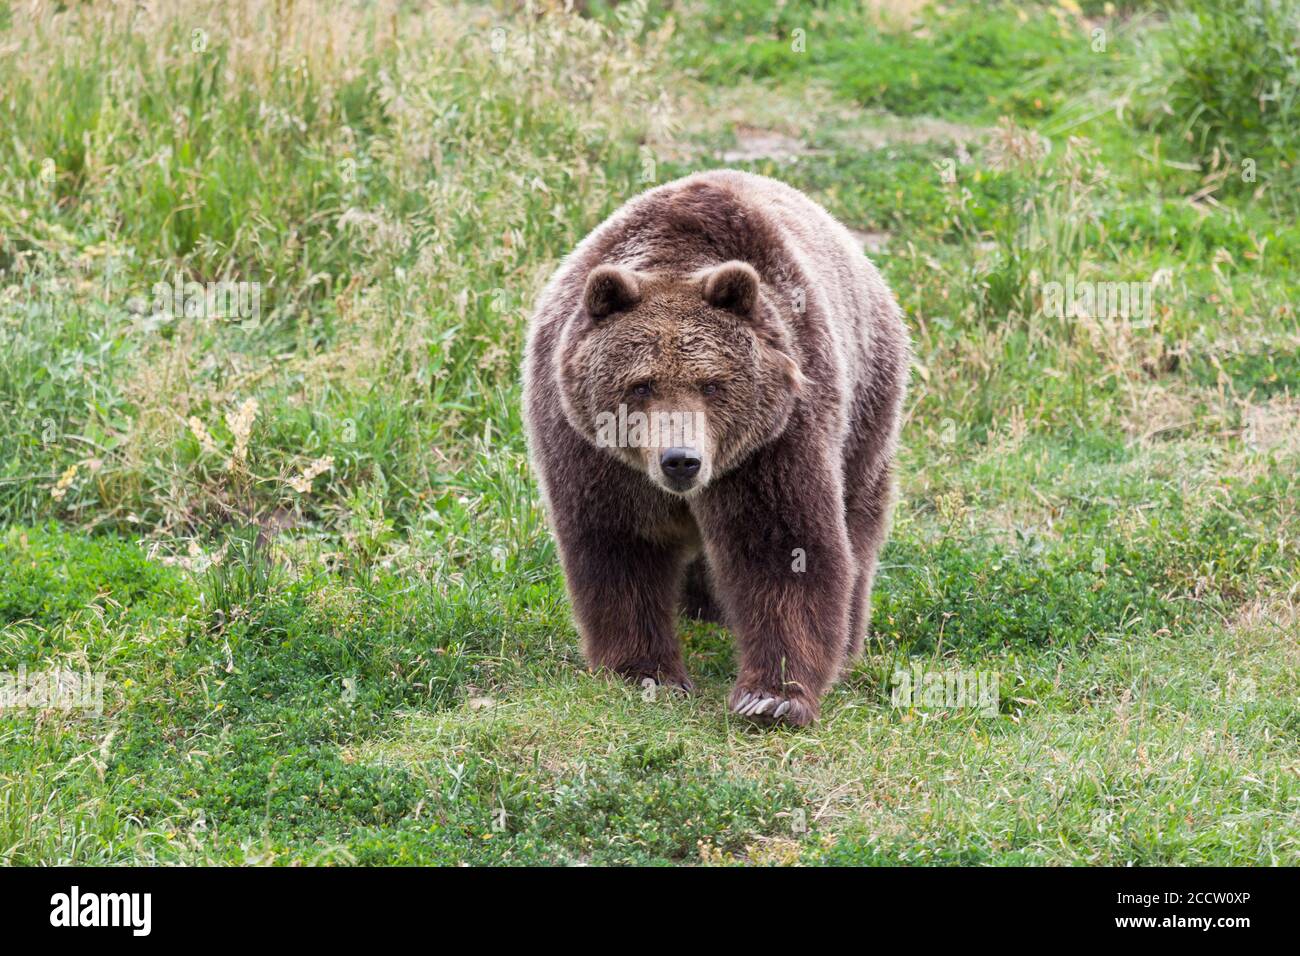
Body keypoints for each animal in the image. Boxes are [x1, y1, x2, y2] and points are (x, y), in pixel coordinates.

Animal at [517, 171, 904, 723]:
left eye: (712, 384)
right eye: (642, 384)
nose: (681, 460)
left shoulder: (772, 442)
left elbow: (783, 547)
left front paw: (771, 697)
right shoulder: (591, 451)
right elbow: (618, 549)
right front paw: (647, 673)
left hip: (867, 400)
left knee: (859, 519)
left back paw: (847, 644)